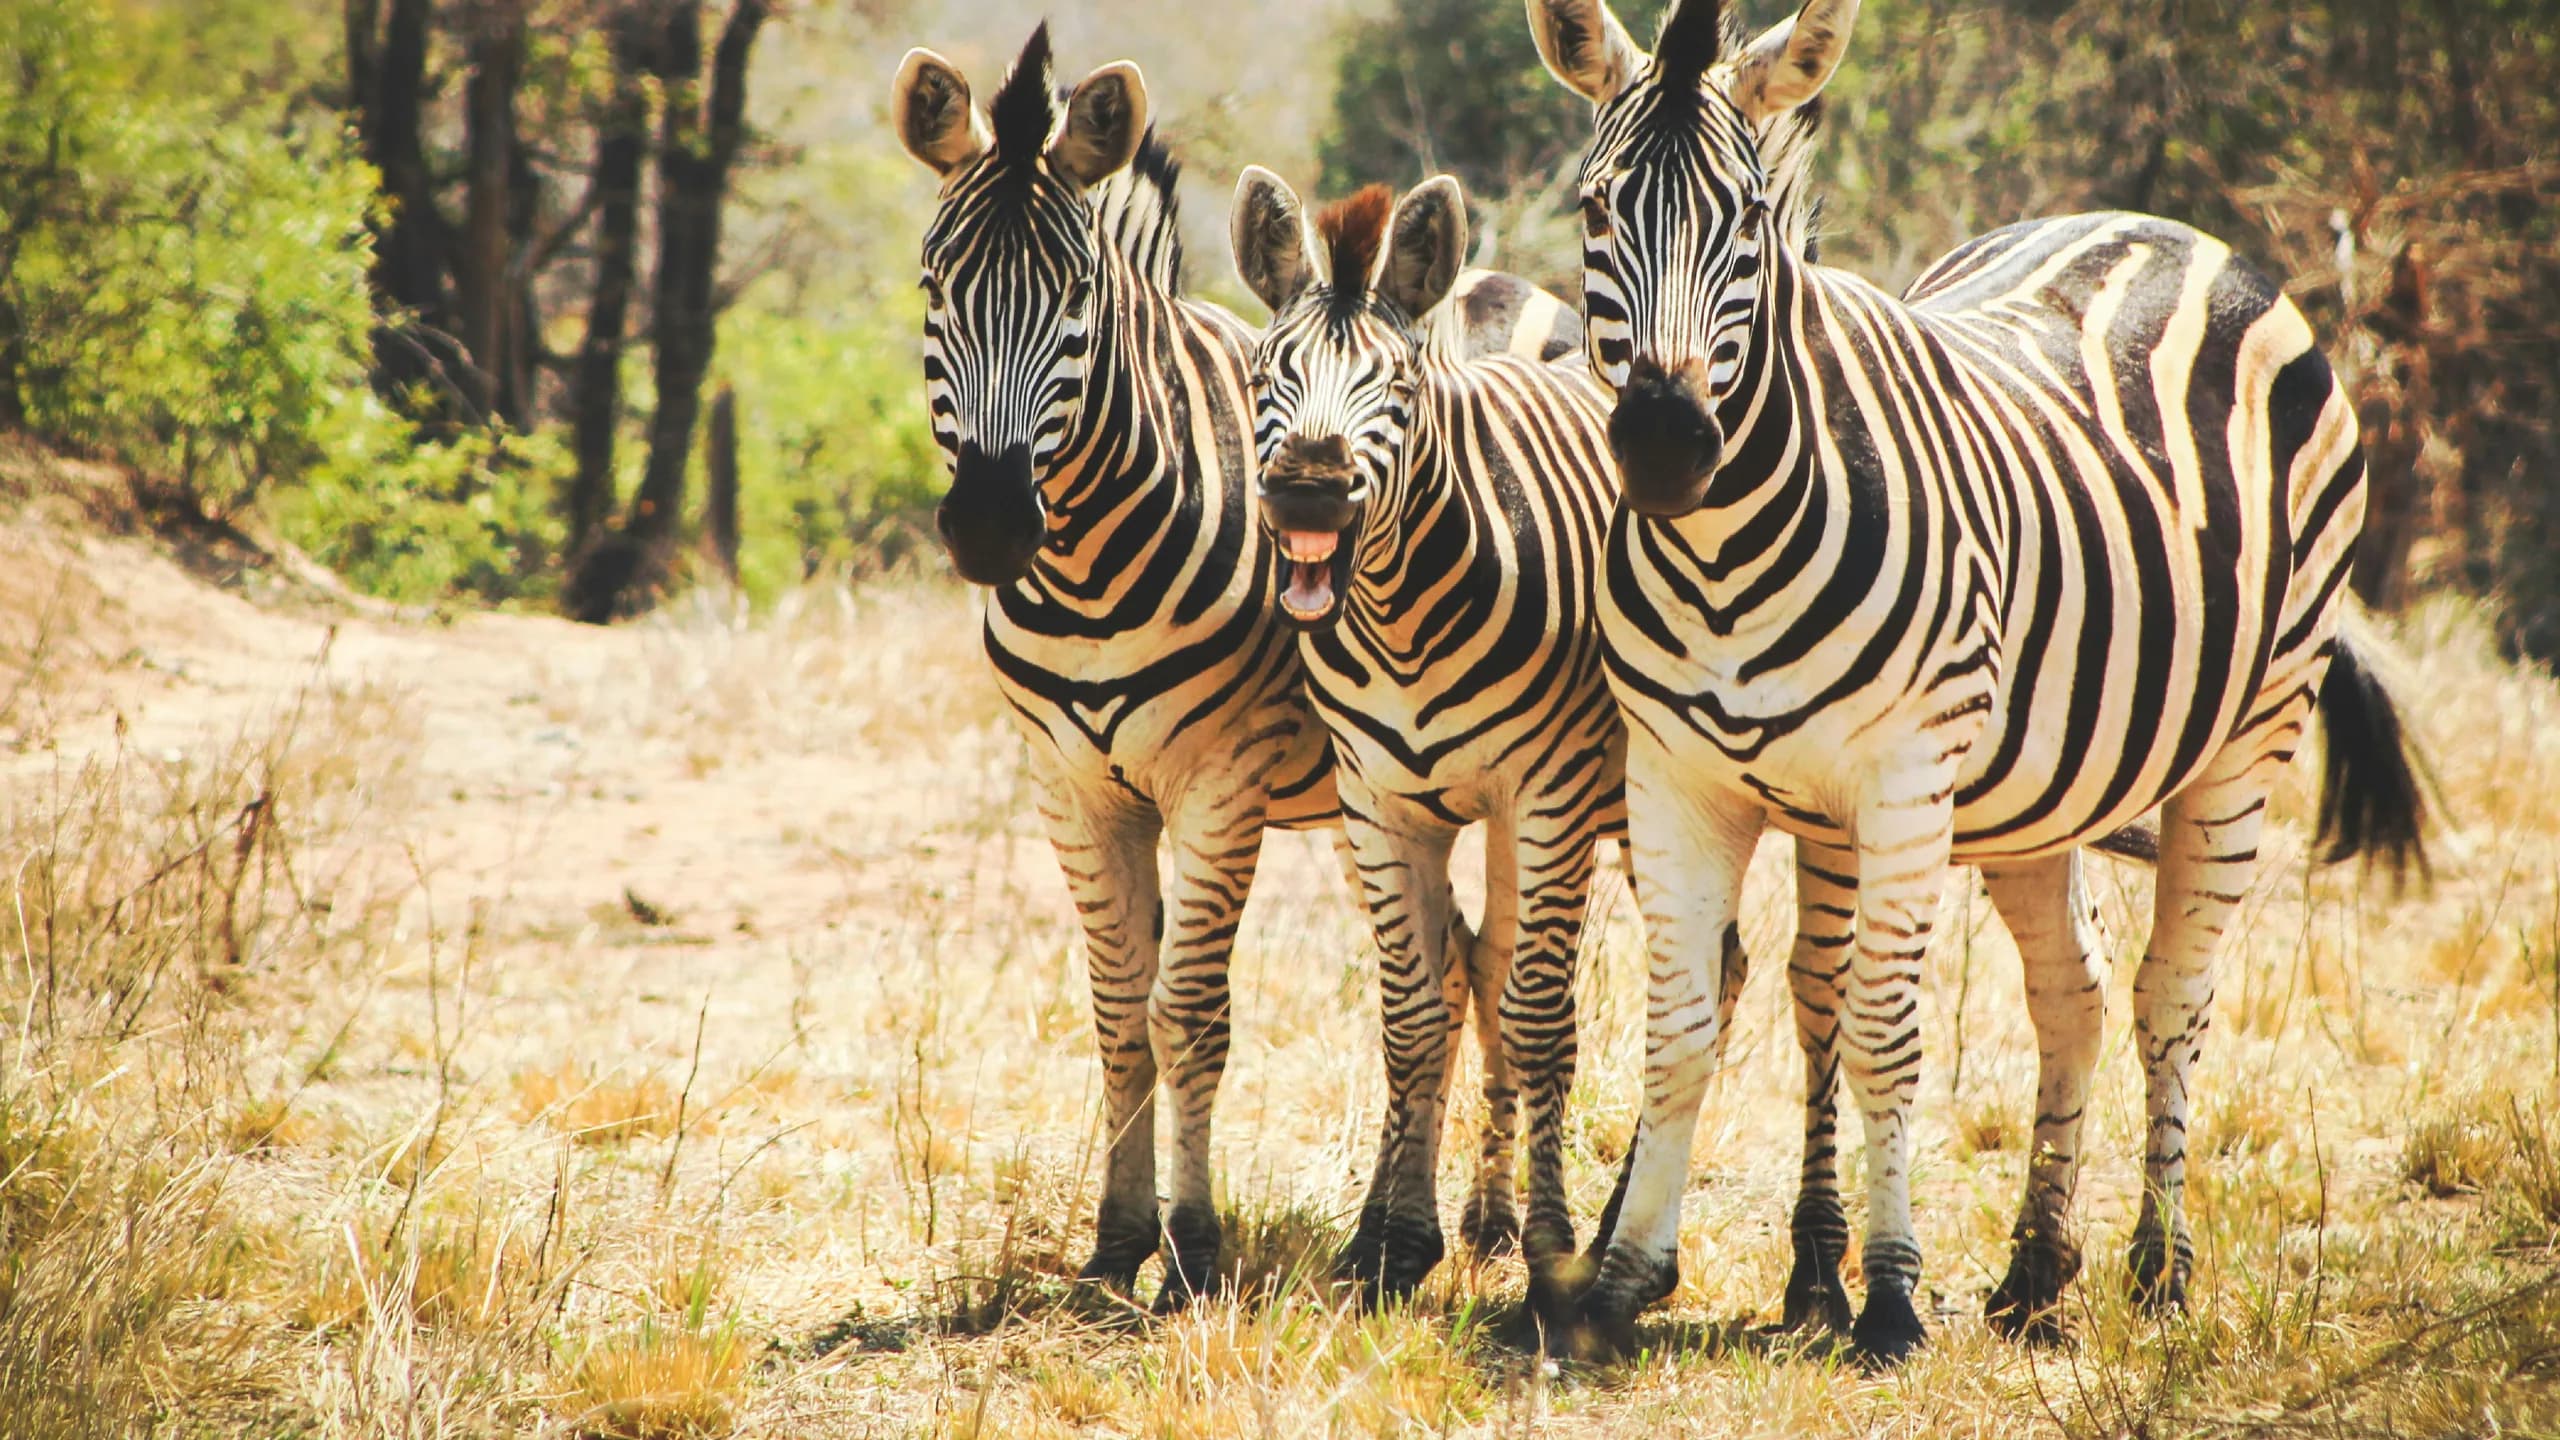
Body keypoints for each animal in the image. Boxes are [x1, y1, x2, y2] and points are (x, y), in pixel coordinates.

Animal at [892, 26, 1595, 1308]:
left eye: (1077, 299)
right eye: (933, 289)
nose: (991, 527)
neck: (1088, 570)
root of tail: (1490, 285)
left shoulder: (1219, 781)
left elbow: (1188, 1011)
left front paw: (1191, 1247)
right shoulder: (1072, 788)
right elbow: (1118, 1009)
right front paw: (1116, 1242)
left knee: (1503, 970)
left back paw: (1493, 1226)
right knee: (1463, 970)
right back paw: (1461, 1225)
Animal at [1525, 0, 2428, 1363]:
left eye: (1748, 220)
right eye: (1594, 206)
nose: (1667, 448)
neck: (1721, 551)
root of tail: (2168, 231)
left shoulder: (1898, 781)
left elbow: (1880, 1032)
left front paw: (1889, 1297)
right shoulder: (1676, 779)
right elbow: (1679, 1029)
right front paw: (1622, 1283)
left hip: (2247, 737)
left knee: (2171, 994)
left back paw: (2158, 1269)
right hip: (2038, 793)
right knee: (2074, 996)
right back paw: (2036, 1270)